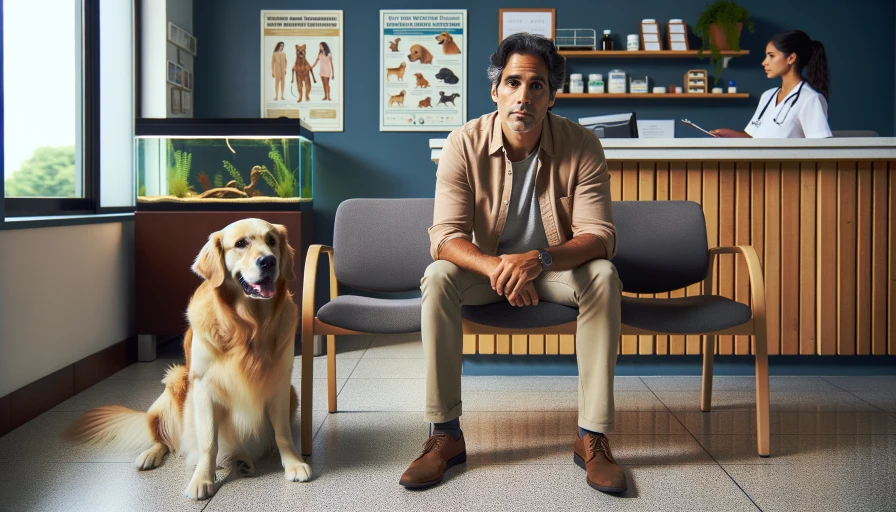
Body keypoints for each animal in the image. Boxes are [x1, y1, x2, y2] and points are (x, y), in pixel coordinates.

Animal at [64, 219, 312, 500]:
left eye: (272, 241)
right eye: (240, 243)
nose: (269, 261)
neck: (249, 327)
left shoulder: (281, 383)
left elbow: (283, 433)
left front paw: (294, 464)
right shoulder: (204, 387)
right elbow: (208, 443)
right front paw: (202, 479)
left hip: (292, 395)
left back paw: (242, 460)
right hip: (175, 384)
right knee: (166, 440)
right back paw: (150, 455)